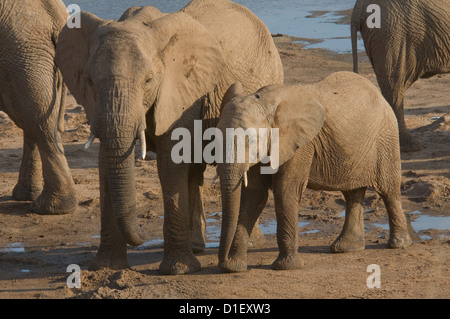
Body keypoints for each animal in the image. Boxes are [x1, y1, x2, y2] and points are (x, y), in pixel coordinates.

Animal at [54, 0, 284, 276]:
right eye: (89, 80)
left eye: (148, 80)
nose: (142, 233)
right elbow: (105, 162)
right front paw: (106, 267)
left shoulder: (182, 94)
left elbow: (171, 162)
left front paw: (178, 270)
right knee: (195, 171)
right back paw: (196, 246)